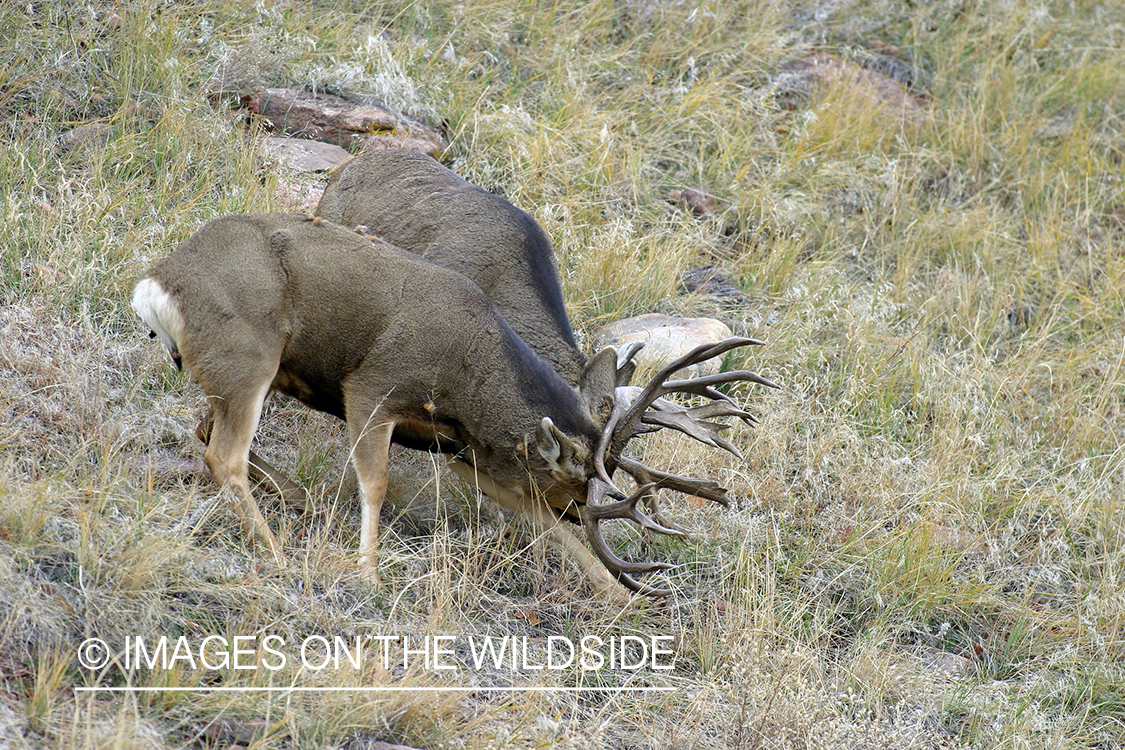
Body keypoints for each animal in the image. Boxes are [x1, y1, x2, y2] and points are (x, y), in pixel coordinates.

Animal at [134, 213, 776, 598]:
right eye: (576, 486)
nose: (583, 513)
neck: (468, 378)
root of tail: (153, 287)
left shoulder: (471, 453)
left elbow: (542, 527)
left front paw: (616, 595)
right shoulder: (372, 387)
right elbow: (375, 482)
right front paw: (369, 571)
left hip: (238, 372)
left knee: (204, 430)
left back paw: (292, 498)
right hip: (247, 353)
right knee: (224, 455)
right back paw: (278, 552)